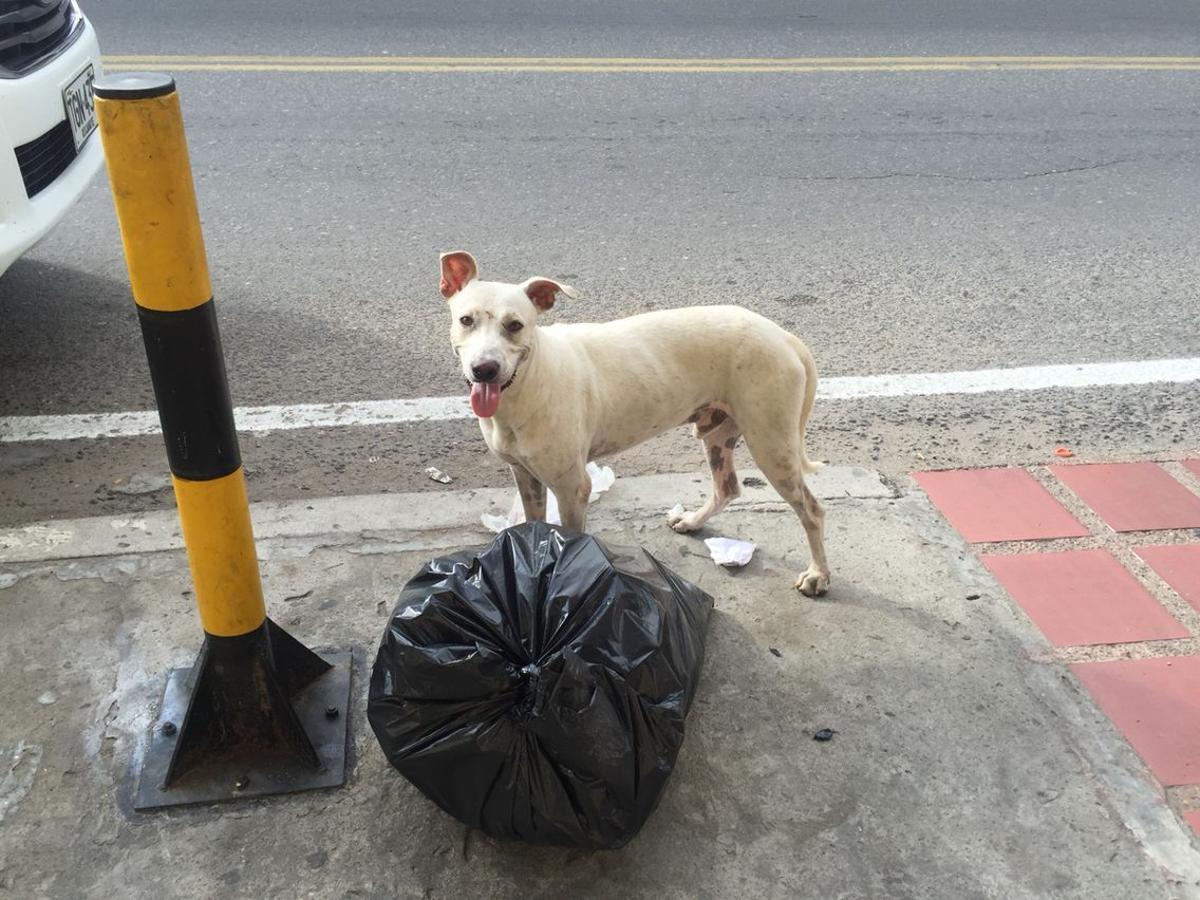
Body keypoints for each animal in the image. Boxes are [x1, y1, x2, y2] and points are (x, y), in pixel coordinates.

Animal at [444, 250, 835, 595]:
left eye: (515, 325)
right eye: (466, 320)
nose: (484, 368)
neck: (528, 381)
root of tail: (783, 336)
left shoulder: (573, 487)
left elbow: (572, 539)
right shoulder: (525, 475)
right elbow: (533, 521)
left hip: (772, 444)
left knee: (812, 510)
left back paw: (818, 574)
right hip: (718, 435)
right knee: (727, 489)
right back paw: (694, 520)